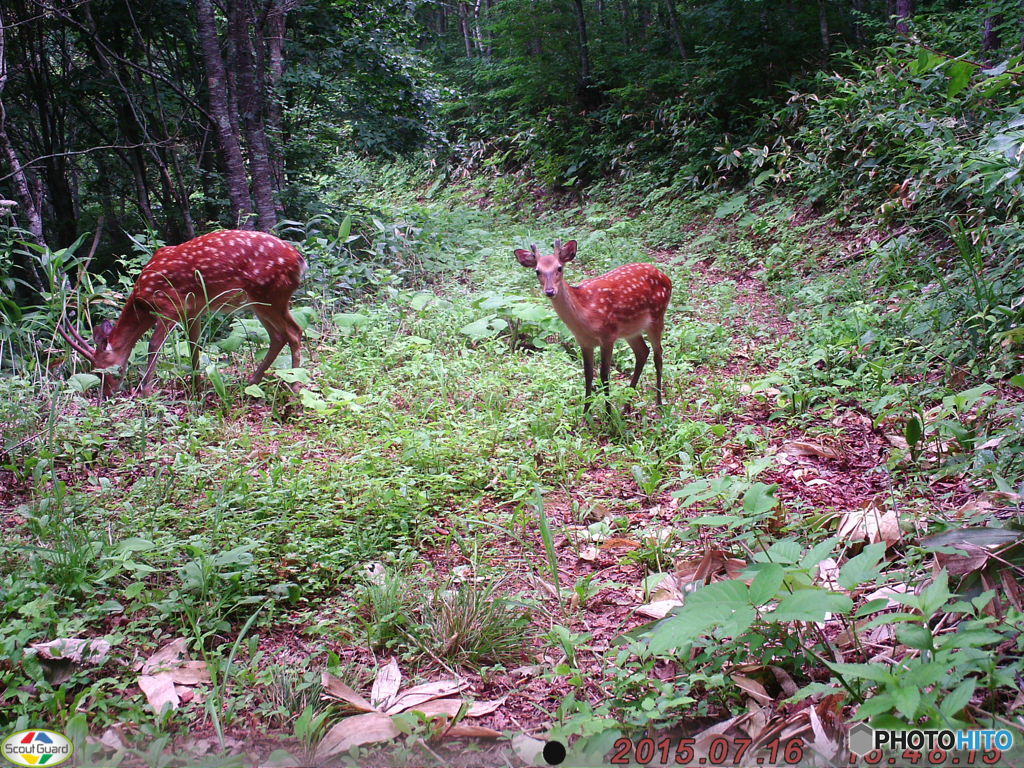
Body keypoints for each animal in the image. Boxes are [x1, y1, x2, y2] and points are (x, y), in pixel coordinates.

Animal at [58, 227, 305, 397]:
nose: (107, 395)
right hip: (259, 301)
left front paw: (146, 393)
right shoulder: (193, 310)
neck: (142, 302)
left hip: (270, 294)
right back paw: (252, 382)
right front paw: (197, 387)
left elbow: (153, 346)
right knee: (278, 336)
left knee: (294, 331)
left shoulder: (171, 306)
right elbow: (193, 346)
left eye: (102, 372)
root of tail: (300, 261)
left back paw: (294, 388)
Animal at [512, 240, 671, 415]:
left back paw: (659, 403)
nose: (549, 291)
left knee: (658, 355)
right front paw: (585, 413)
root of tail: (665, 277)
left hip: (657, 315)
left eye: (559, 268)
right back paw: (626, 407)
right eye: (537, 271)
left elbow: (604, 375)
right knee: (642, 352)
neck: (586, 317)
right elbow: (588, 375)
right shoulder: (584, 341)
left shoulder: (608, 336)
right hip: (631, 330)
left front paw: (608, 414)